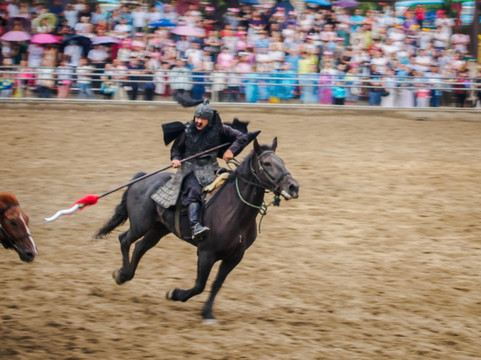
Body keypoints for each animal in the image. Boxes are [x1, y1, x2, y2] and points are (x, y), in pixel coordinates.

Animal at [95, 139, 298, 324]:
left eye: (282, 161)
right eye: (267, 163)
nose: (293, 186)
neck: (233, 210)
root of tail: (143, 178)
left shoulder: (234, 257)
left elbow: (216, 285)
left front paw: (207, 313)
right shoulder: (206, 253)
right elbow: (200, 285)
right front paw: (174, 294)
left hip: (158, 229)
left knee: (139, 247)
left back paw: (125, 275)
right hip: (140, 225)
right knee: (124, 240)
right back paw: (121, 275)